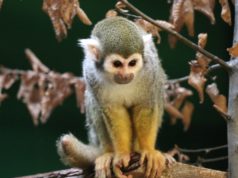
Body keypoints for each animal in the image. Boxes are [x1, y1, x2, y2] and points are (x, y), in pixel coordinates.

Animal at [56, 16, 167, 178]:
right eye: (117, 64)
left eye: (132, 63)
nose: (126, 75)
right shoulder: (91, 73)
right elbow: (113, 111)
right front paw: (121, 155)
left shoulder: (149, 70)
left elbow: (146, 105)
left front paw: (148, 151)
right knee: (93, 101)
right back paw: (108, 153)